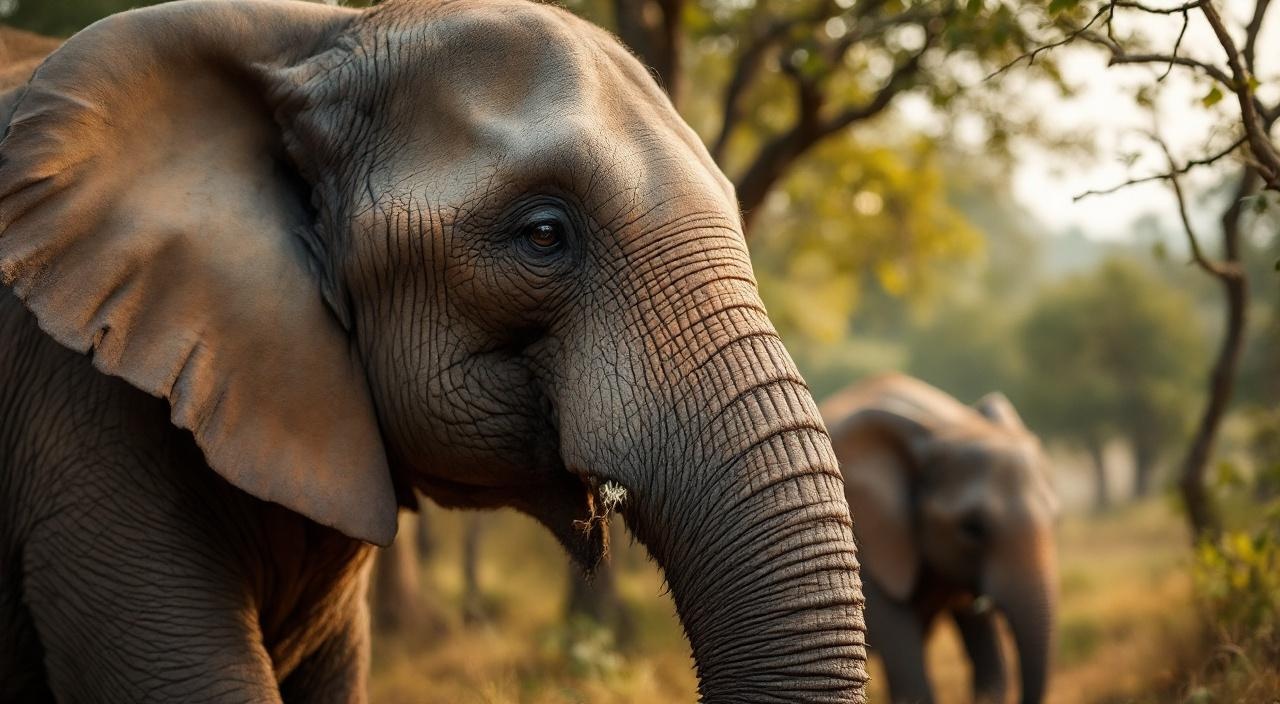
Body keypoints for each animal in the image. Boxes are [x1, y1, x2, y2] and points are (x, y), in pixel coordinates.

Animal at [822, 374, 1058, 704]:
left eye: (1055, 518)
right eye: (972, 529)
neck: (943, 425)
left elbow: (990, 666)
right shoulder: (870, 540)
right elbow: (911, 678)